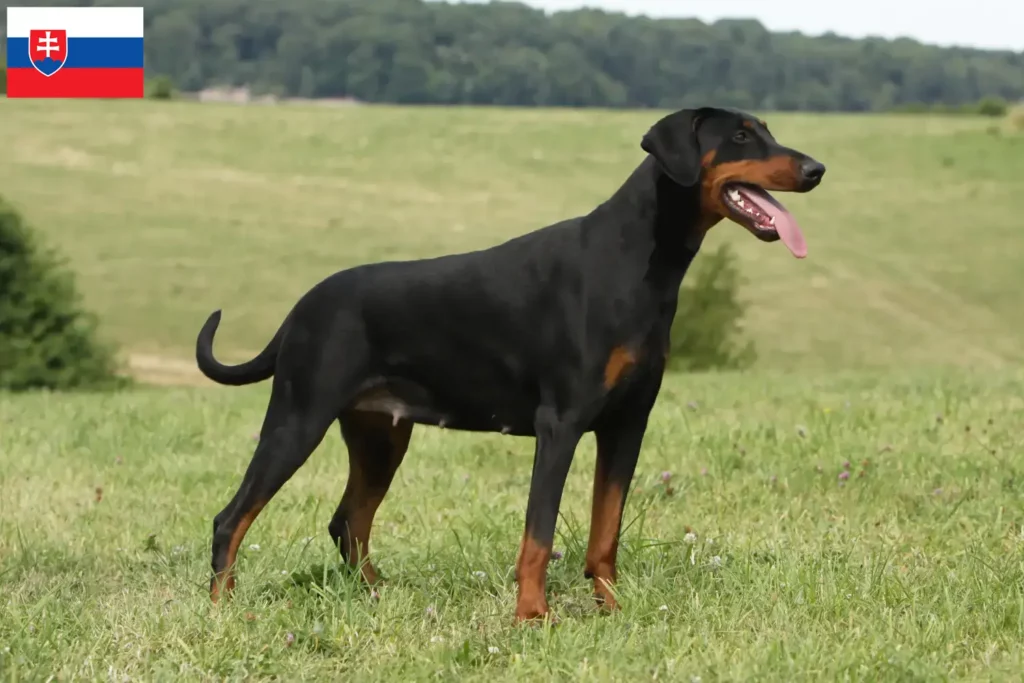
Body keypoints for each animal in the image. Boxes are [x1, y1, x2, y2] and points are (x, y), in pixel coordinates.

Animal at [195, 104, 827, 622]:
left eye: (767, 129)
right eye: (741, 135)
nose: (817, 169)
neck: (639, 258)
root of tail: (300, 310)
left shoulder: (627, 424)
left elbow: (605, 534)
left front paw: (612, 609)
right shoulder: (560, 424)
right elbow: (538, 535)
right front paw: (532, 616)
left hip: (381, 436)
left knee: (348, 522)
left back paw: (377, 596)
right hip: (299, 419)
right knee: (232, 519)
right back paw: (226, 610)